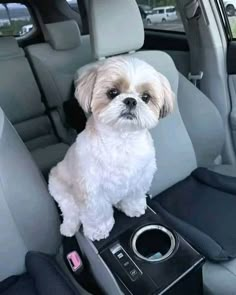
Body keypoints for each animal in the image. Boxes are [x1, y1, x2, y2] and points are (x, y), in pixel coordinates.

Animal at [48, 56, 174, 242]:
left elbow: (134, 196)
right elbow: (96, 213)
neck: (121, 139)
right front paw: (98, 231)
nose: (131, 100)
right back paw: (69, 227)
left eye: (146, 97)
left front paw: (133, 208)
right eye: (112, 92)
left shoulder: (141, 177)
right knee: (70, 210)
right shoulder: (91, 190)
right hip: (60, 187)